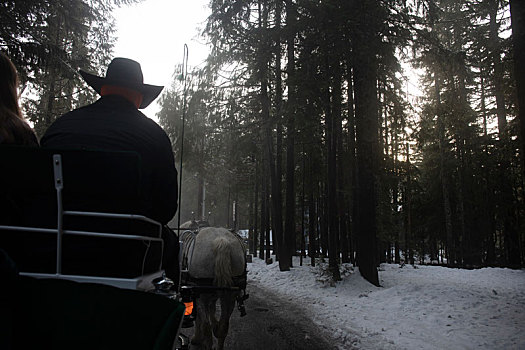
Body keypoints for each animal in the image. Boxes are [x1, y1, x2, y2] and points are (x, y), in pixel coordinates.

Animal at [179, 221, 247, 350]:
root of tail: (220, 241)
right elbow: (212, 310)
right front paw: (215, 325)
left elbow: (200, 317)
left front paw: (197, 337)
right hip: (230, 294)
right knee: (224, 326)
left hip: (202, 294)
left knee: (206, 325)